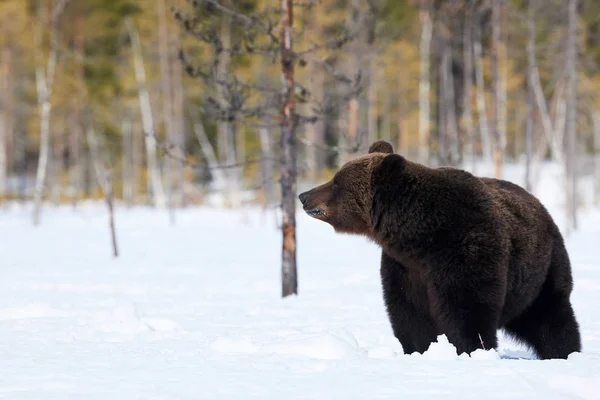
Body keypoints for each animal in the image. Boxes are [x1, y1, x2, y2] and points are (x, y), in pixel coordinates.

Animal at [300, 141, 580, 360]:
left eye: (337, 182)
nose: (304, 195)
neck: (418, 237)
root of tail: (540, 205)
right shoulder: (405, 268)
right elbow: (410, 315)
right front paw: (420, 350)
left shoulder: (464, 250)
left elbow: (467, 310)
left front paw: (470, 349)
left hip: (542, 269)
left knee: (551, 317)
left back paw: (564, 352)